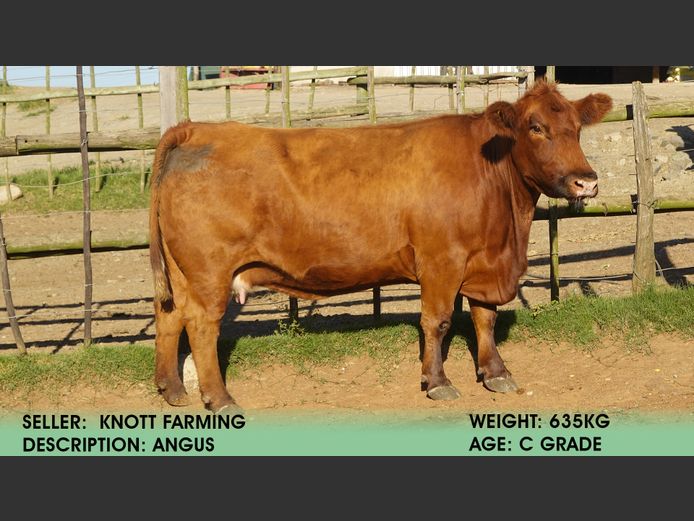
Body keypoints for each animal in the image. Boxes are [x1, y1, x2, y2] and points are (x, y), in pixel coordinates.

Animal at [149, 80, 613, 413]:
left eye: (576, 129)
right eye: (536, 128)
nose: (585, 181)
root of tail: (195, 128)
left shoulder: (485, 262)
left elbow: (485, 318)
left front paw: (495, 372)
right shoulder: (441, 260)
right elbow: (437, 321)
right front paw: (437, 382)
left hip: (181, 274)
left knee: (169, 317)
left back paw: (172, 389)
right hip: (209, 273)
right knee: (201, 327)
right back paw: (219, 399)